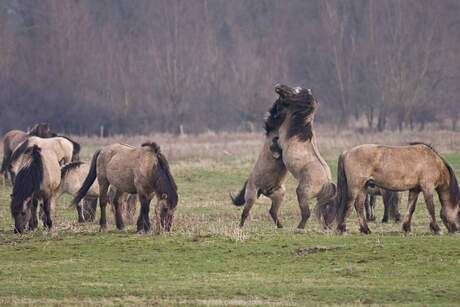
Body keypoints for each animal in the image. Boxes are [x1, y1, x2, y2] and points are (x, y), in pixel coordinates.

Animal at [229, 98, 288, 229]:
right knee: (245, 213)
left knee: (272, 211)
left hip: (279, 193)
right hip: (252, 196)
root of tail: (264, 190)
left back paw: (281, 226)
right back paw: (240, 227)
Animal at [272, 84, 336, 229]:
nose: (278, 86)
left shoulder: (280, 142)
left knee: (306, 213)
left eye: (296, 91)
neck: (298, 131)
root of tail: (327, 183)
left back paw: (299, 228)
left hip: (302, 192)